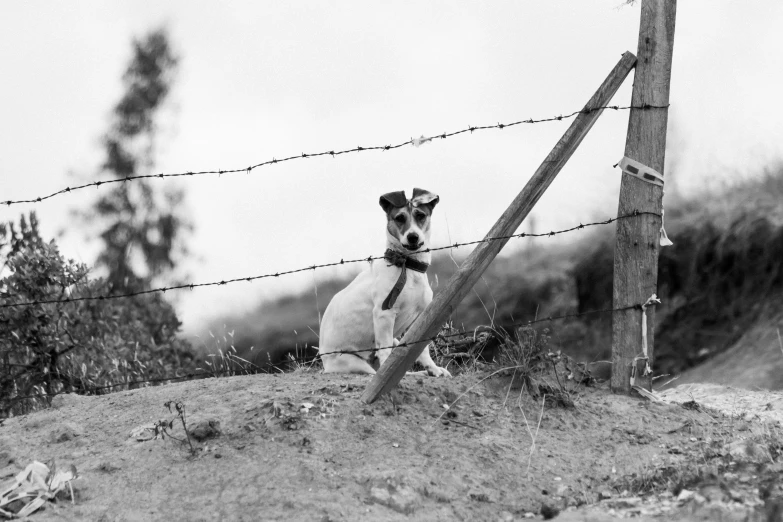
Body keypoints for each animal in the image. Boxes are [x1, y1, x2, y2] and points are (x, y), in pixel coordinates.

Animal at [318, 189, 454, 376]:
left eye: (420, 215)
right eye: (399, 218)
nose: (412, 237)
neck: (407, 266)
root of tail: (325, 362)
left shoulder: (421, 316)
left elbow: (421, 349)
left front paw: (433, 369)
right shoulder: (384, 315)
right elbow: (386, 351)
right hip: (353, 362)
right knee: (376, 370)